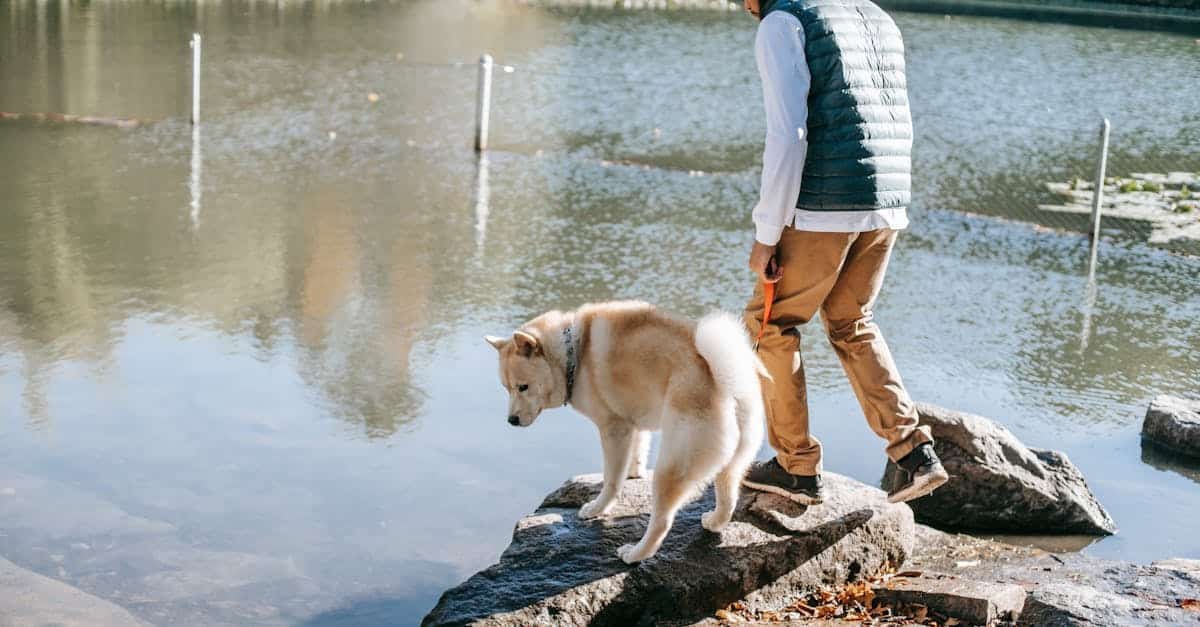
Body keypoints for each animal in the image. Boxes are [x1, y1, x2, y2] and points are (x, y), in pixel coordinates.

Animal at [482, 299, 763, 562]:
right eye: (506, 387)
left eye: (523, 387)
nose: (511, 420)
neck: (574, 356)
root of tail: (728, 384)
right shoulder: (632, 423)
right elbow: (637, 451)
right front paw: (634, 473)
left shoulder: (613, 428)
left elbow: (611, 480)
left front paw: (598, 508)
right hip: (732, 465)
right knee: (728, 500)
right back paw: (713, 522)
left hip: (672, 467)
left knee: (661, 522)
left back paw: (635, 554)